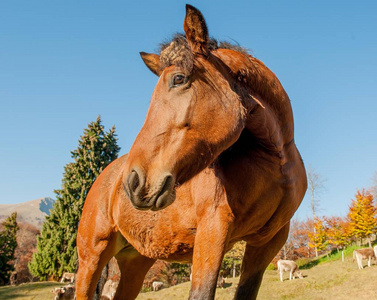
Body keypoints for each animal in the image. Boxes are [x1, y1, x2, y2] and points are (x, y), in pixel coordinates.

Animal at [75, 4, 306, 300]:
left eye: (179, 79)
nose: (133, 182)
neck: (274, 163)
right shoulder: (212, 232)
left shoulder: (268, 241)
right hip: (92, 257)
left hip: (135, 261)